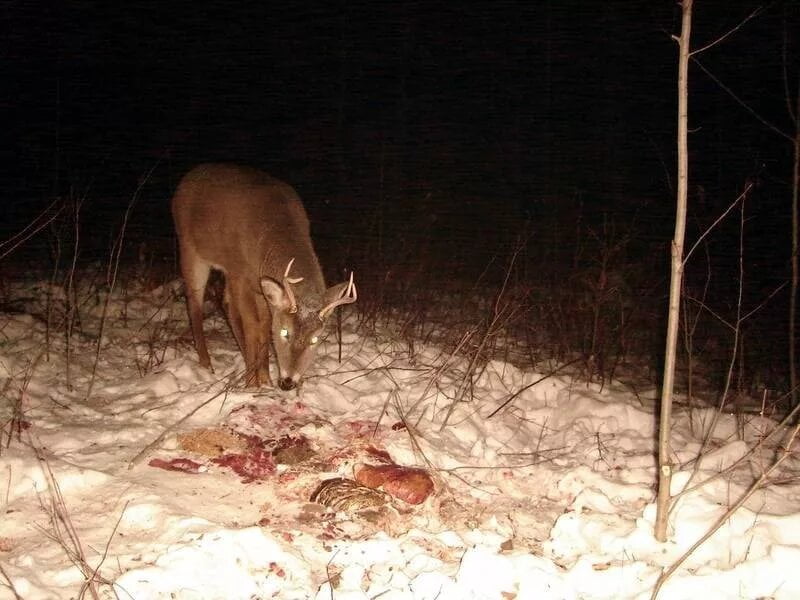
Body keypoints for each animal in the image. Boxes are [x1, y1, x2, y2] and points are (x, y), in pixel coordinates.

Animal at [172, 163, 356, 390]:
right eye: (285, 332)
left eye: (315, 340)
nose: (288, 383)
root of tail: (187, 177)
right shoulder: (240, 273)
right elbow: (252, 324)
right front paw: (252, 382)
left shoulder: (260, 288)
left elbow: (264, 325)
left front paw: (265, 377)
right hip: (190, 247)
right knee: (194, 303)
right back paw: (207, 364)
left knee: (225, 303)